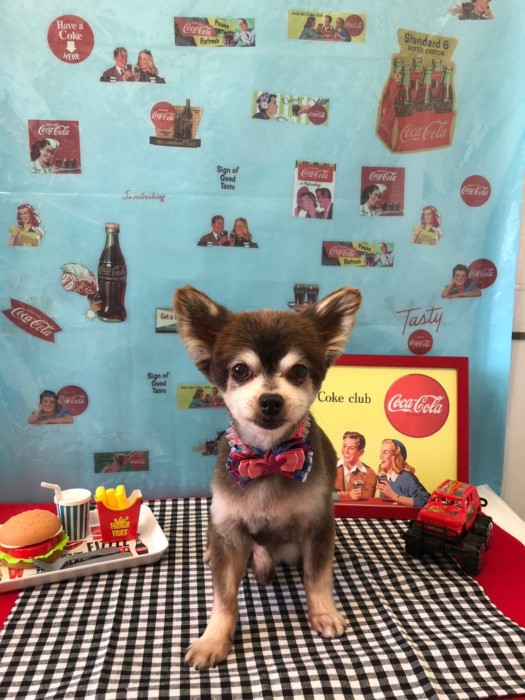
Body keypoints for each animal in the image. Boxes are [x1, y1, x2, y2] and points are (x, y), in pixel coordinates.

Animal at [173, 285, 362, 669]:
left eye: (299, 371)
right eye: (240, 370)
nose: (271, 400)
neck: (268, 456)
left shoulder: (319, 524)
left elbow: (317, 576)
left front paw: (323, 613)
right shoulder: (229, 534)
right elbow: (224, 597)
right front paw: (213, 639)